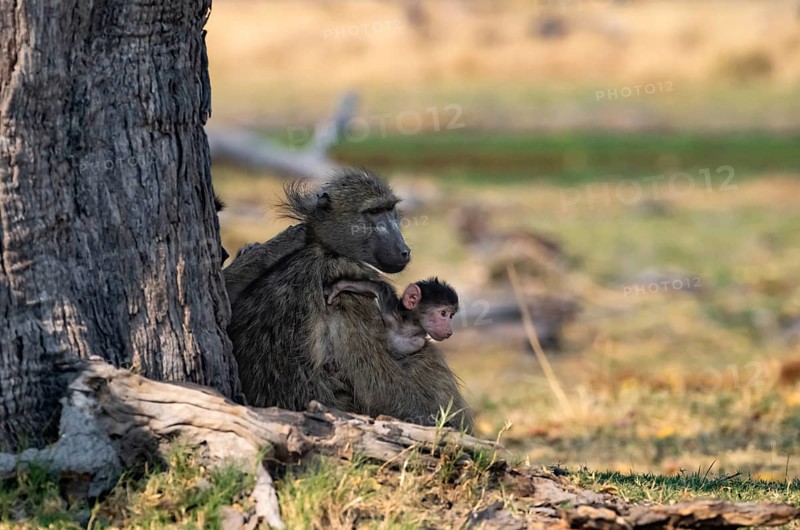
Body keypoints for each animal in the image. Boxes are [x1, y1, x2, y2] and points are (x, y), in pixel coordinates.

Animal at [325, 277, 459, 358]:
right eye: (443, 314)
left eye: (451, 316)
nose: (450, 332)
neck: (406, 327)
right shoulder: (390, 313)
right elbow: (379, 287)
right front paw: (337, 287)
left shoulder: (418, 343)